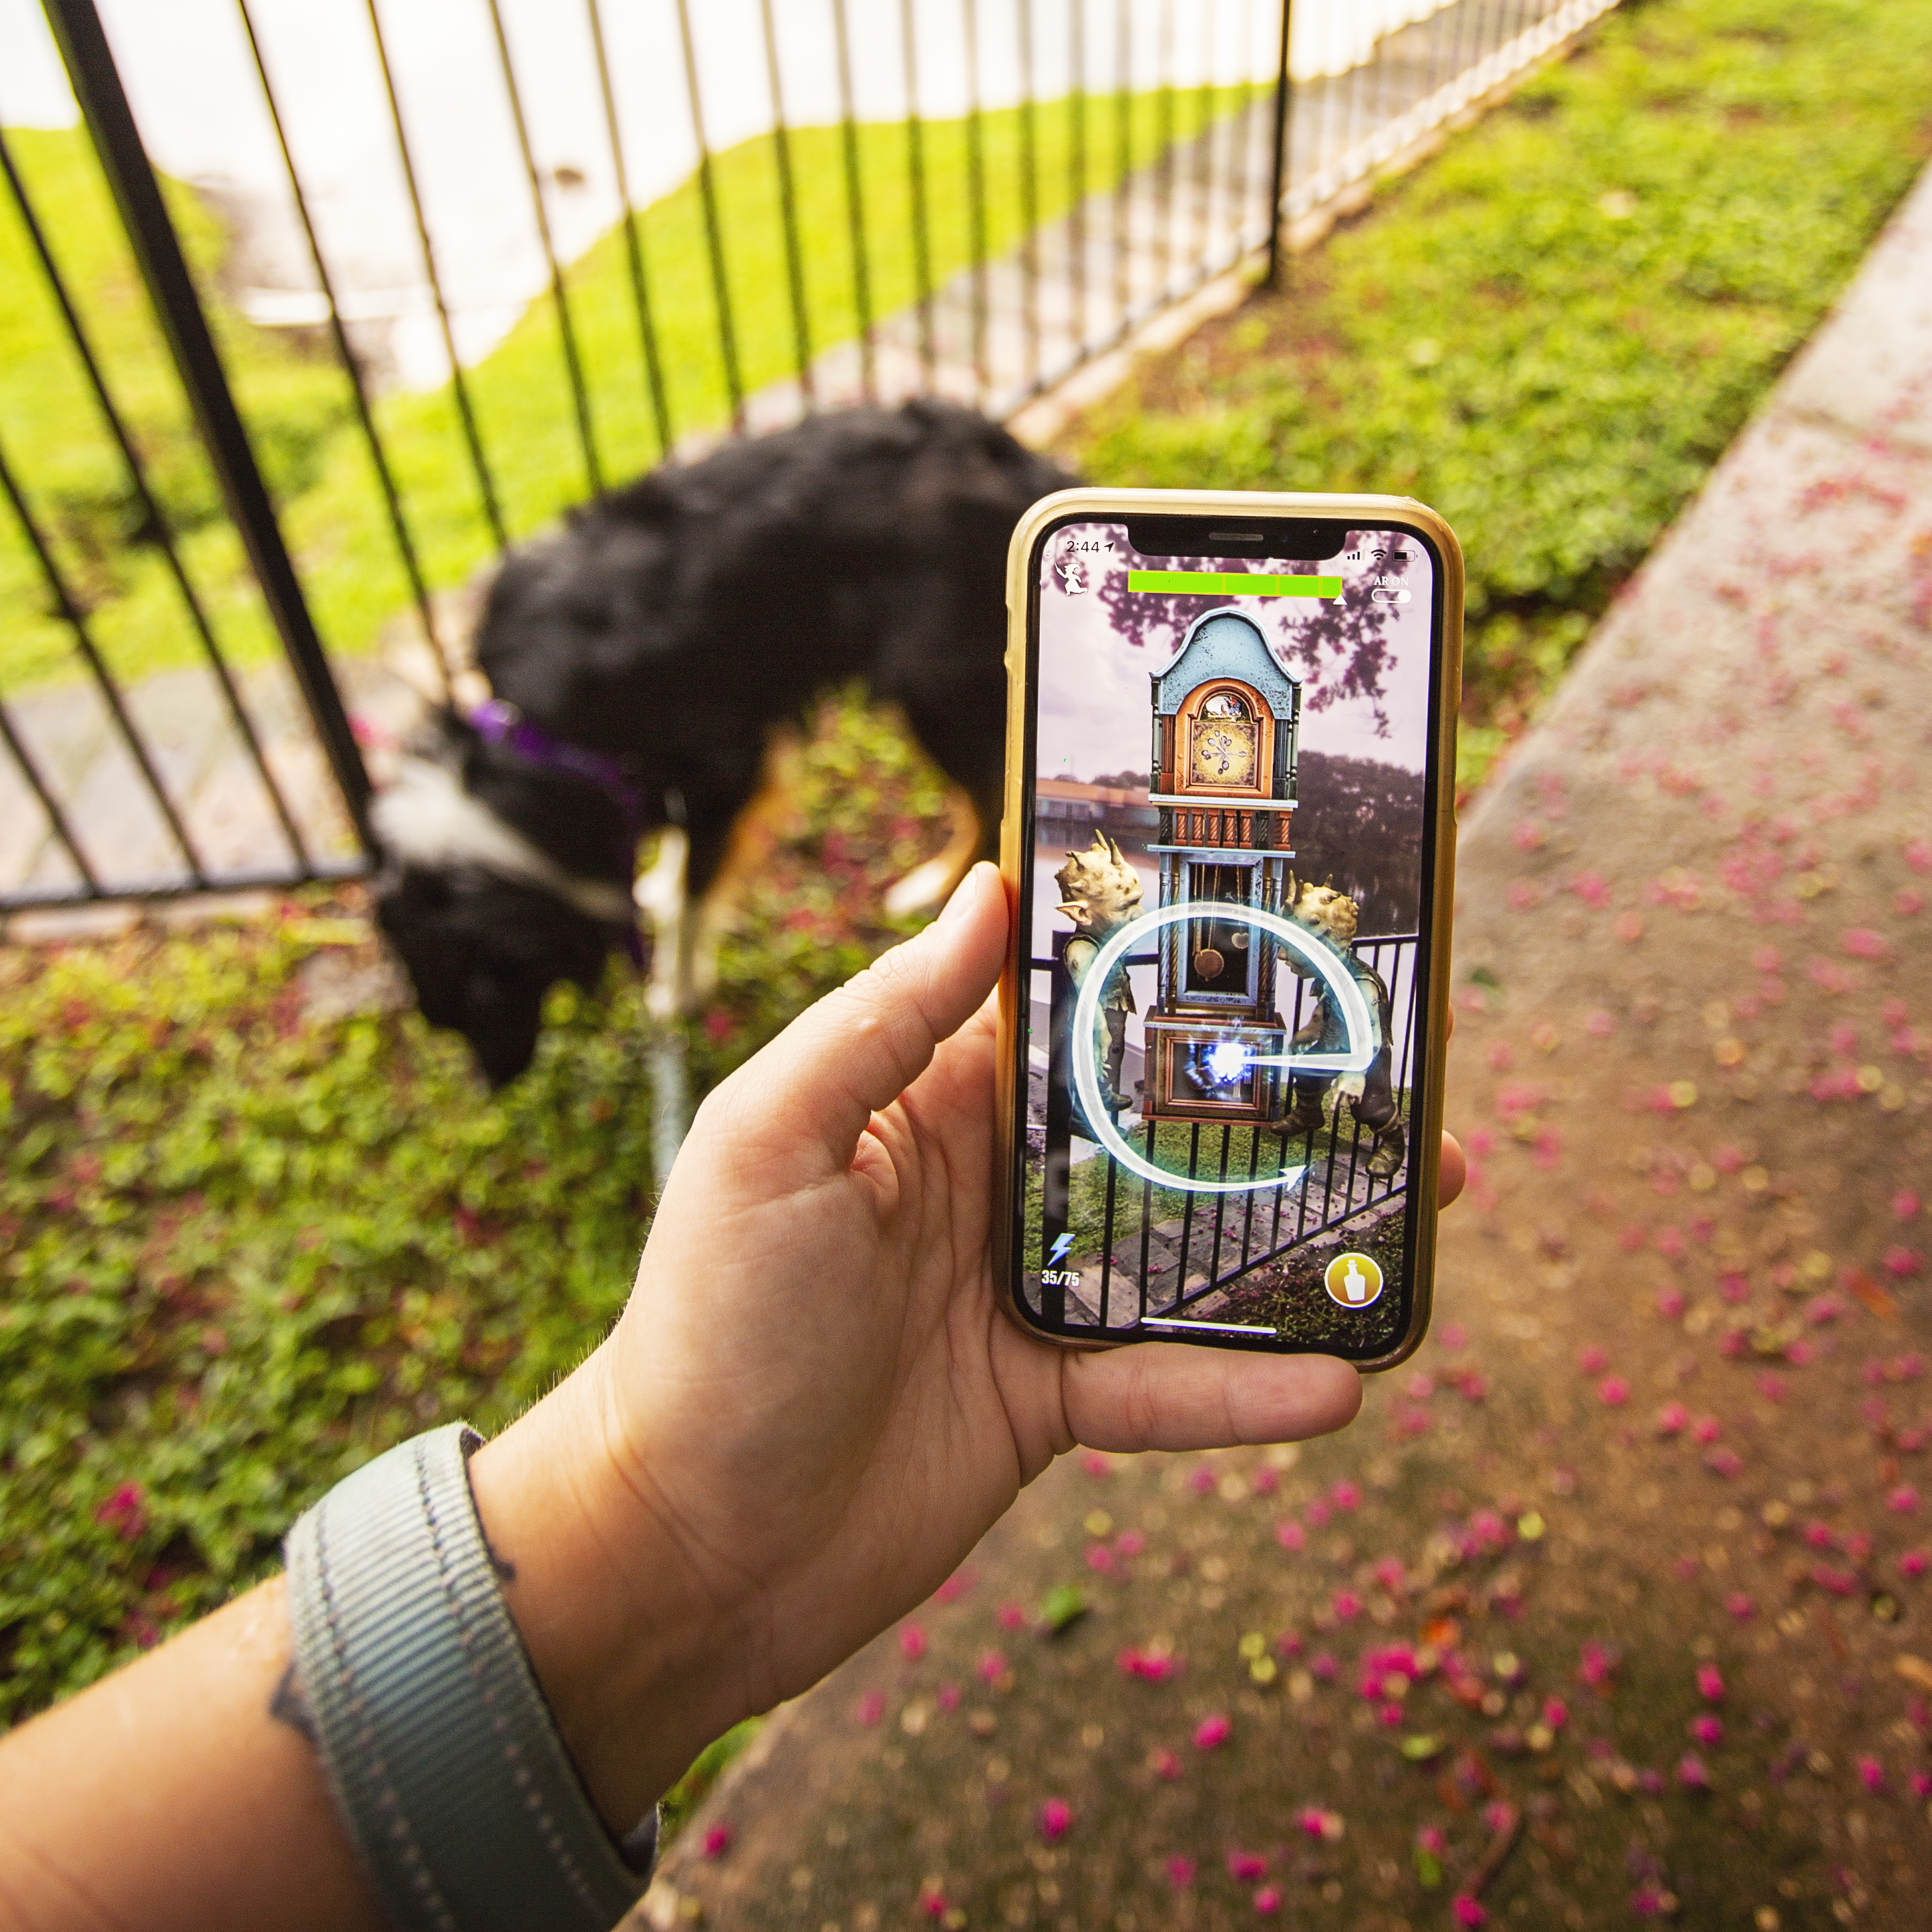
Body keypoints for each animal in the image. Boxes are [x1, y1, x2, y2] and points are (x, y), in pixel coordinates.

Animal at [369, 396, 1082, 1089]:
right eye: (447, 1012)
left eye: (486, 997)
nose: (492, 1085)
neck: (539, 745)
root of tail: (1003, 451)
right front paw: (656, 885)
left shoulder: (724, 765)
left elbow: (694, 894)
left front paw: (676, 989)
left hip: (935, 686)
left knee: (985, 793)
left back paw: (936, 881)